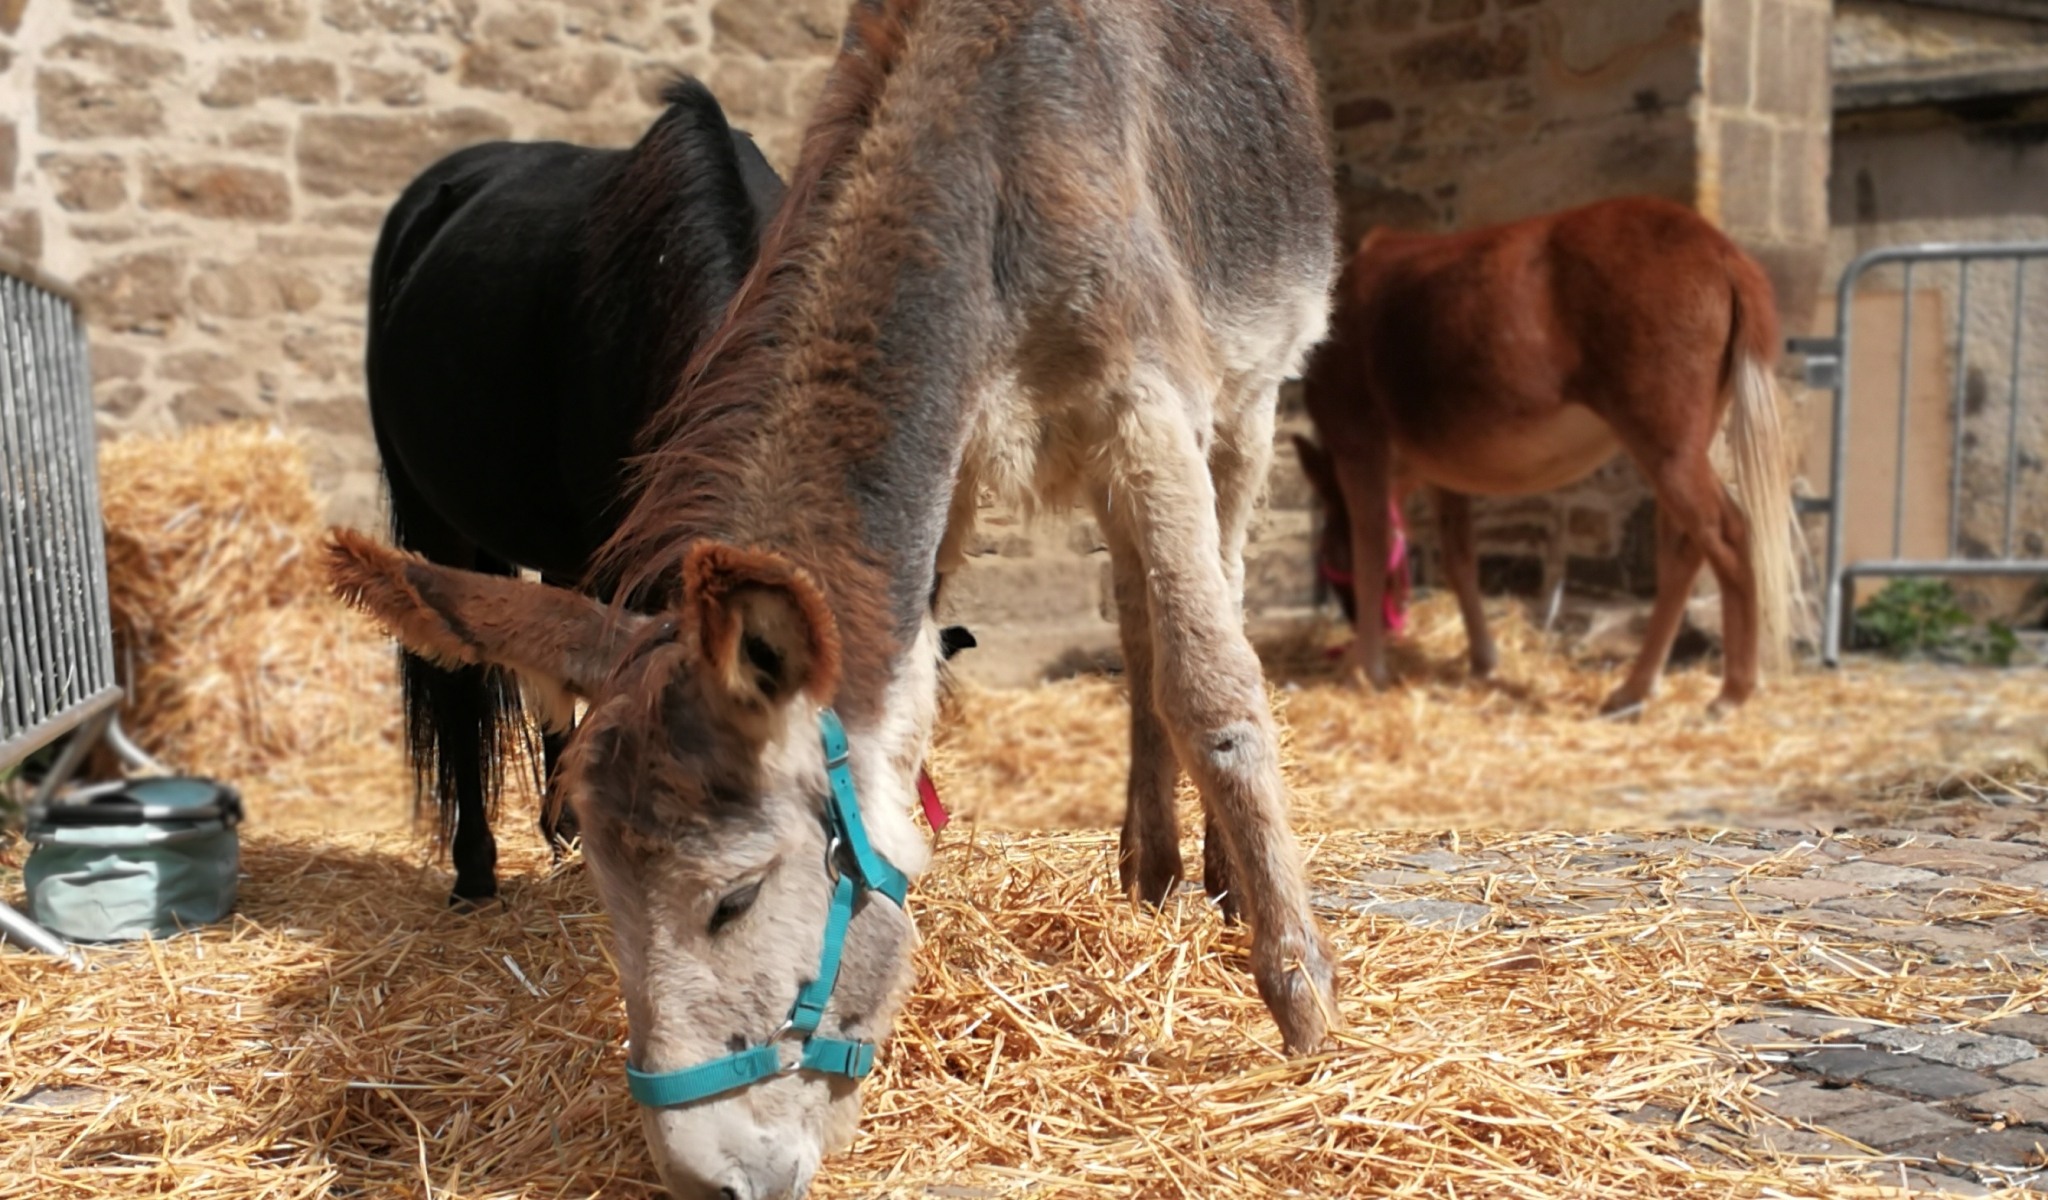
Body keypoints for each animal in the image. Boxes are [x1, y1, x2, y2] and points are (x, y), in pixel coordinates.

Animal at [1294, 196, 1804, 716]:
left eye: (1326, 556)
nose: (1355, 617)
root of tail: (1721, 252)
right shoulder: (1444, 471)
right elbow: (1459, 558)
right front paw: (1482, 658)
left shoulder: (1358, 442)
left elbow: (1372, 545)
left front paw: (1363, 668)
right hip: (1681, 445)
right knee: (1682, 551)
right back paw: (1636, 686)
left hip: (1665, 445)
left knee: (1728, 534)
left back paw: (1731, 691)